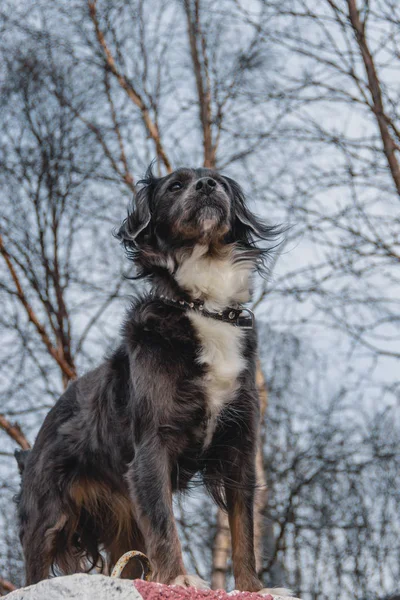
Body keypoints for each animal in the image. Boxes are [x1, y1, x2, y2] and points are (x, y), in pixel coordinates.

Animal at [15, 166, 286, 592]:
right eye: (175, 185)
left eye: (221, 183)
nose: (206, 186)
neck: (201, 306)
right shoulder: (152, 448)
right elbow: (164, 525)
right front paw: (178, 578)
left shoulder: (239, 447)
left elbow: (244, 530)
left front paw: (253, 588)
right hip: (48, 520)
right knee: (36, 570)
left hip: (124, 521)